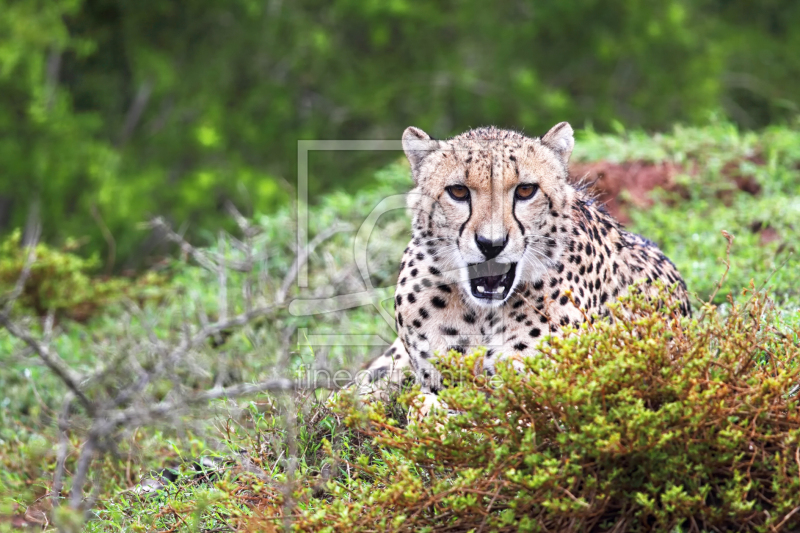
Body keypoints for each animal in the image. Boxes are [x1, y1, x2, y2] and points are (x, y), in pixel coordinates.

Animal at [360, 120, 692, 404]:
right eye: (458, 191)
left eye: (525, 190)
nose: (491, 244)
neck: (481, 315)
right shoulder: (437, 380)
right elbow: (423, 404)